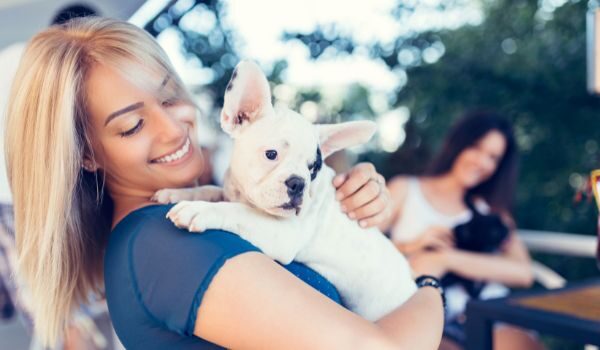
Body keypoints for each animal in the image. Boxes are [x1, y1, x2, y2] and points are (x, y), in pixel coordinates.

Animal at [162, 60, 420, 320]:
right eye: (271, 154)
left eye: (313, 169)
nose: (298, 183)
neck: (245, 197)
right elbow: (211, 190)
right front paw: (177, 193)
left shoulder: (283, 233)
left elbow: (237, 212)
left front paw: (199, 210)